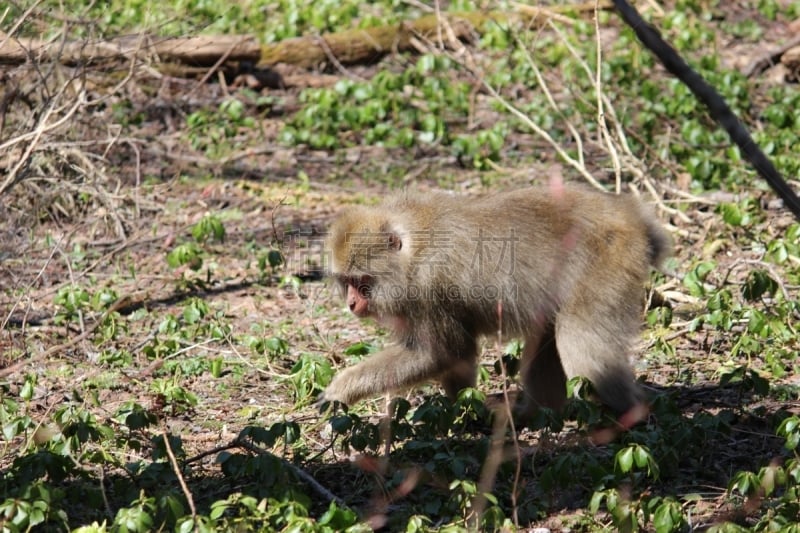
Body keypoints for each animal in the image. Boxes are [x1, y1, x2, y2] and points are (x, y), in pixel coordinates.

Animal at [322, 185, 672, 418]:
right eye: (346, 283)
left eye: (362, 283)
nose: (351, 304)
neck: (414, 250)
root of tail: (629, 216)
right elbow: (457, 359)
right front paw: (463, 411)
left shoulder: (429, 291)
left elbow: (441, 354)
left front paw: (342, 388)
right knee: (548, 329)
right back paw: (536, 414)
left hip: (608, 259)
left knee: (582, 346)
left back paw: (629, 415)